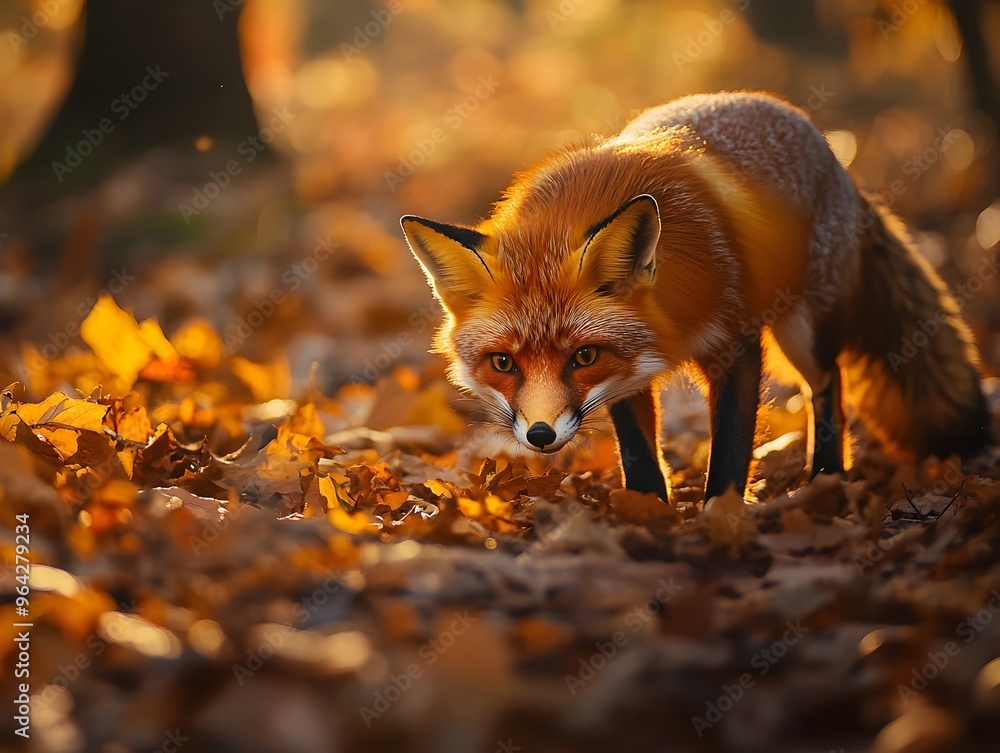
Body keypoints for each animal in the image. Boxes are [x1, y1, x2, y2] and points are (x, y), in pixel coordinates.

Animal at [400, 91, 992, 502]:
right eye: (503, 363)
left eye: (582, 356)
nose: (541, 435)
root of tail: (830, 152)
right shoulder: (627, 372)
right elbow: (639, 455)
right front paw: (648, 516)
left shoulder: (736, 345)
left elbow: (729, 449)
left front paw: (719, 520)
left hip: (802, 329)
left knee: (830, 386)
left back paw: (825, 475)